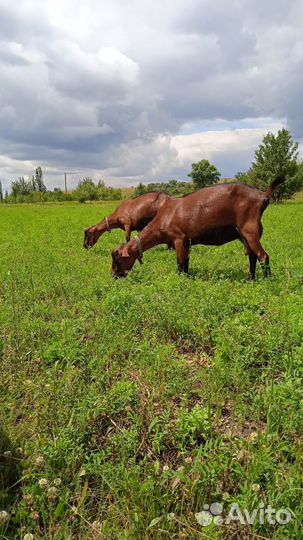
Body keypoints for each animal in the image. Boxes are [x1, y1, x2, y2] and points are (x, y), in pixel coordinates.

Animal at [111, 176, 284, 280]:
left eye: (118, 259)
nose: (114, 276)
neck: (163, 218)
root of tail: (262, 196)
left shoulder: (179, 239)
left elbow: (180, 263)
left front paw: (181, 281)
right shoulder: (187, 242)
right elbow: (186, 262)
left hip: (250, 230)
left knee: (263, 256)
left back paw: (267, 281)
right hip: (244, 235)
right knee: (252, 256)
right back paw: (250, 279)